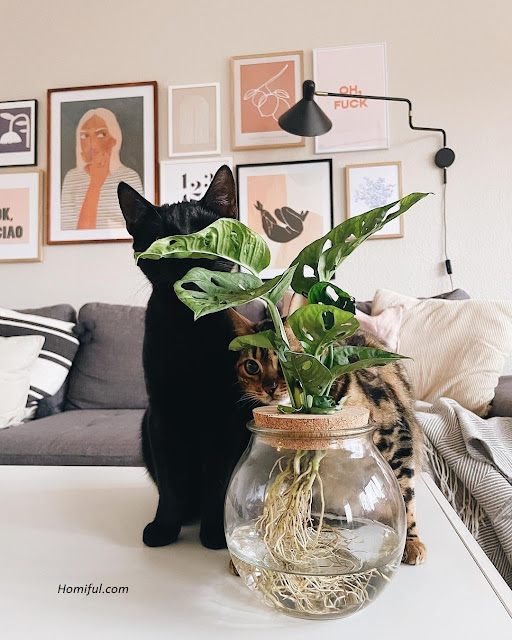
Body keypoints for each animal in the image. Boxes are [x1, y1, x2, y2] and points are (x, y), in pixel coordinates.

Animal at [118, 166, 253, 550]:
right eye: (161, 240)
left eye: (207, 236)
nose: (186, 257)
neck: (189, 326)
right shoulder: (162, 415)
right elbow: (170, 484)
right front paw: (164, 528)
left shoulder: (226, 420)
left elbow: (217, 484)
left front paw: (214, 534)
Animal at [228, 308, 427, 565]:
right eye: (252, 367)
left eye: (287, 363)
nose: (269, 387)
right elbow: (297, 496)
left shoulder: (396, 433)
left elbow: (405, 493)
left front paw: (410, 542)